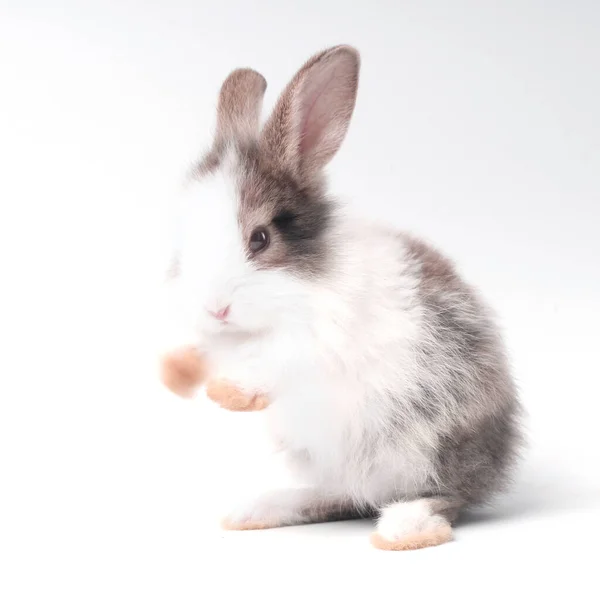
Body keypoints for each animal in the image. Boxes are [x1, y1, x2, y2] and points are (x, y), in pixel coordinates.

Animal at [162, 44, 524, 552]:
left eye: (260, 238)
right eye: (183, 245)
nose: (215, 308)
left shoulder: (319, 338)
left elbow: (276, 360)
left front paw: (231, 393)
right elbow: (202, 353)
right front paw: (176, 374)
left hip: (429, 444)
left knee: (443, 496)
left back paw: (404, 529)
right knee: (344, 497)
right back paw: (258, 510)